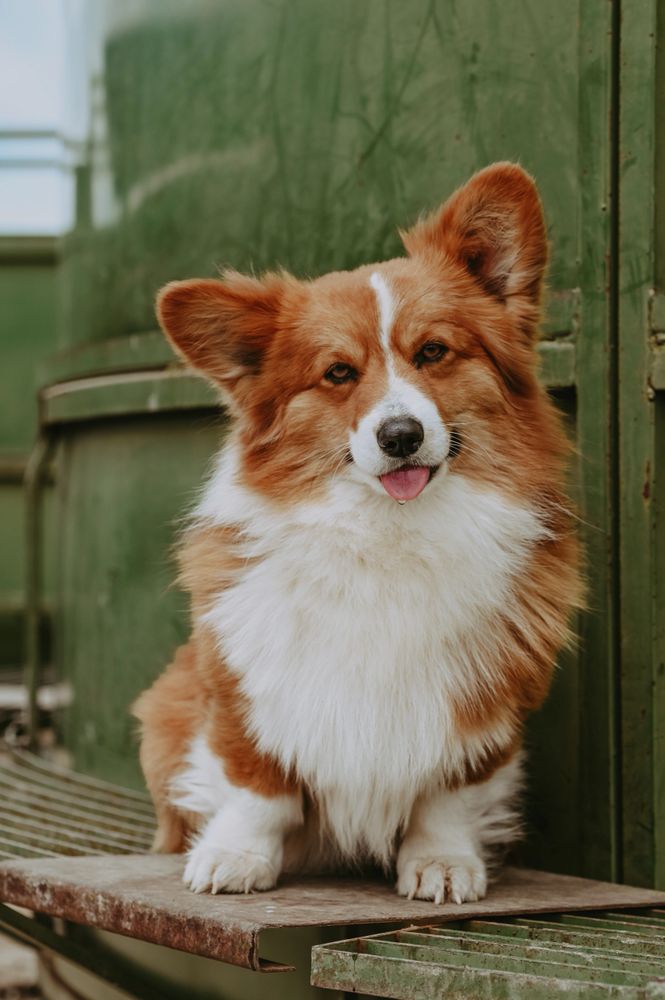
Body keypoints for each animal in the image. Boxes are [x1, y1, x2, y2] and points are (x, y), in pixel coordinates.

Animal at [134, 162, 580, 900]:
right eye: (337, 372)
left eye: (433, 352)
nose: (400, 436)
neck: (384, 535)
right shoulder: (242, 695)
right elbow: (257, 787)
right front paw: (235, 856)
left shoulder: (482, 713)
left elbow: (447, 798)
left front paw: (441, 861)